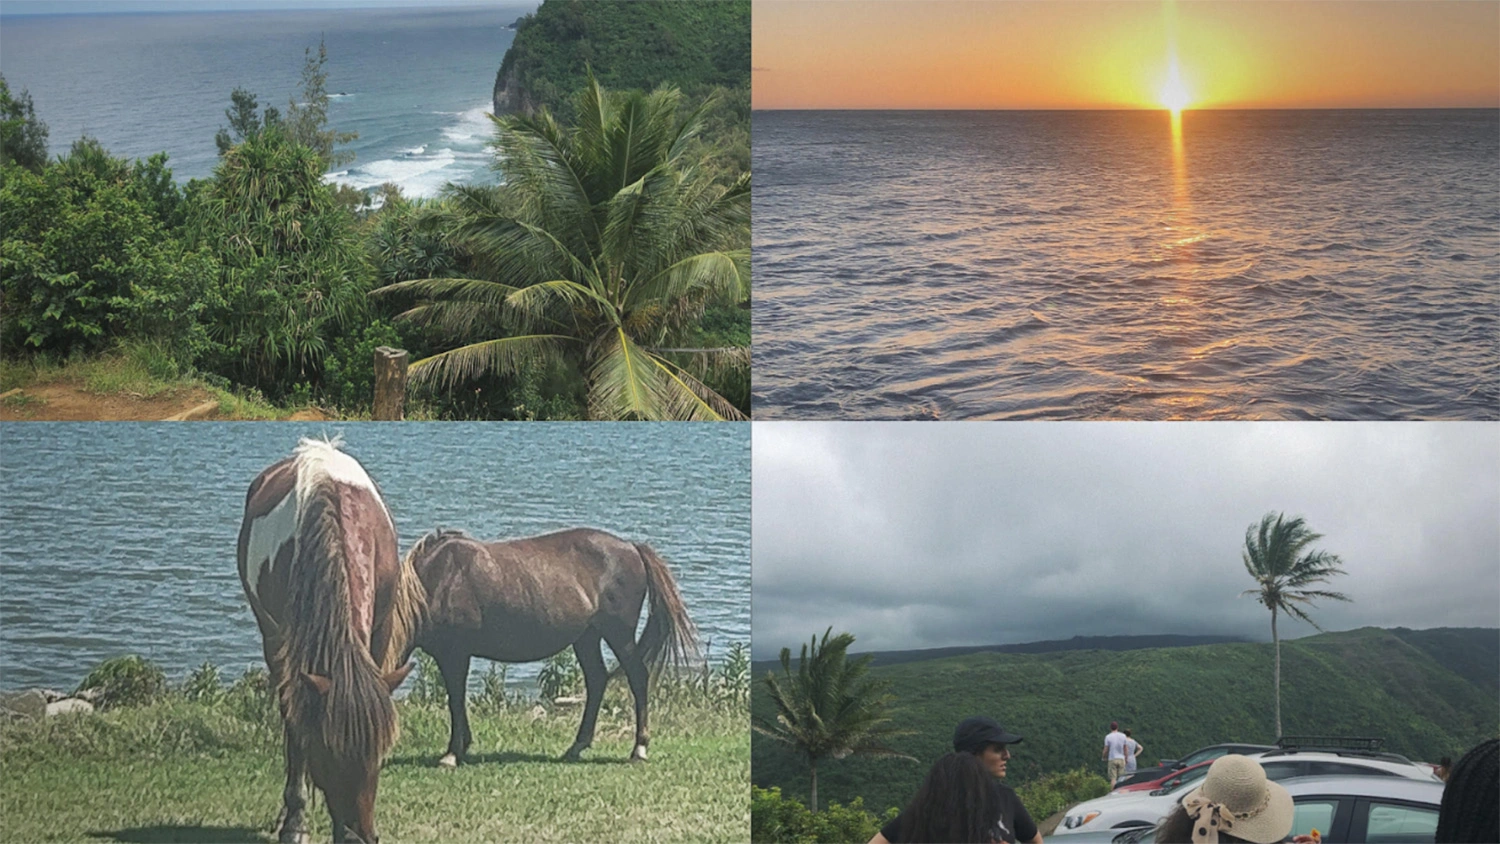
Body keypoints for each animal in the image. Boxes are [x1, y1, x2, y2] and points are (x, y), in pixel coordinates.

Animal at [235, 440, 423, 839]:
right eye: (330, 754)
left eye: (379, 754)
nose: (358, 835)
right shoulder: (288, 646)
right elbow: (296, 727)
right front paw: (294, 821)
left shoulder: (380, 632)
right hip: (271, 637)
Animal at [402, 530, 699, 767]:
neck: (438, 580)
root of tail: (633, 548)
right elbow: (459, 698)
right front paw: (462, 747)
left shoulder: (454, 654)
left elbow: (455, 700)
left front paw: (452, 753)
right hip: (587, 638)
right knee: (597, 680)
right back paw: (576, 747)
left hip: (618, 634)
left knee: (637, 677)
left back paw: (639, 748)